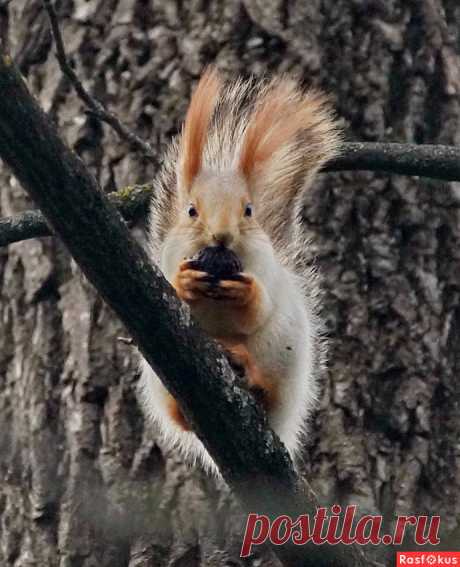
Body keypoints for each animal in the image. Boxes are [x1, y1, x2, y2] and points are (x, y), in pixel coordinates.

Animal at [138, 66, 344, 474]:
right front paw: (185, 283)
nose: (221, 236)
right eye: (191, 210)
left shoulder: (266, 270)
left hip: (279, 349)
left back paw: (249, 373)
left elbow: (258, 308)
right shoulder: (169, 259)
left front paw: (245, 293)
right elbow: (172, 287)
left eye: (249, 210)